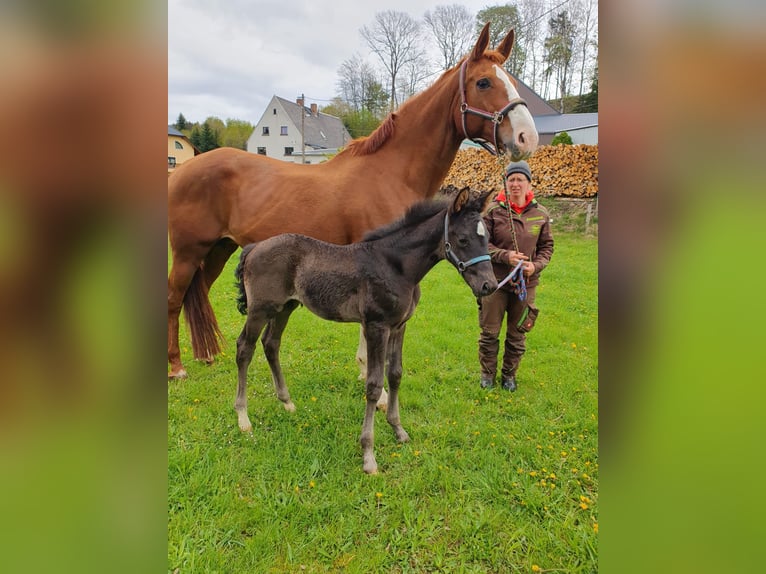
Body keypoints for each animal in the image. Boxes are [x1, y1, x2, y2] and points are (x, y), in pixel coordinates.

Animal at [168, 22, 538, 396]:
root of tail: (183, 169)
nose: (527, 137)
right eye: (483, 82)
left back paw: (205, 355)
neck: (390, 172)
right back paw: (176, 367)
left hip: (218, 249)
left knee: (195, 295)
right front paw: (375, 383)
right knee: (174, 298)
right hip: (188, 252)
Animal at [233, 188, 496, 474]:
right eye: (463, 239)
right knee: (245, 348)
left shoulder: (399, 326)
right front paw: (369, 456)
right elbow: (373, 384)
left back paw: (287, 402)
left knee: (271, 343)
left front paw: (398, 431)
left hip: (285, 307)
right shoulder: (376, 326)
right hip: (260, 309)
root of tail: (254, 247)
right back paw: (243, 417)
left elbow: (395, 375)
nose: (489, 285)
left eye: (487, 238)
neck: (396, 266)